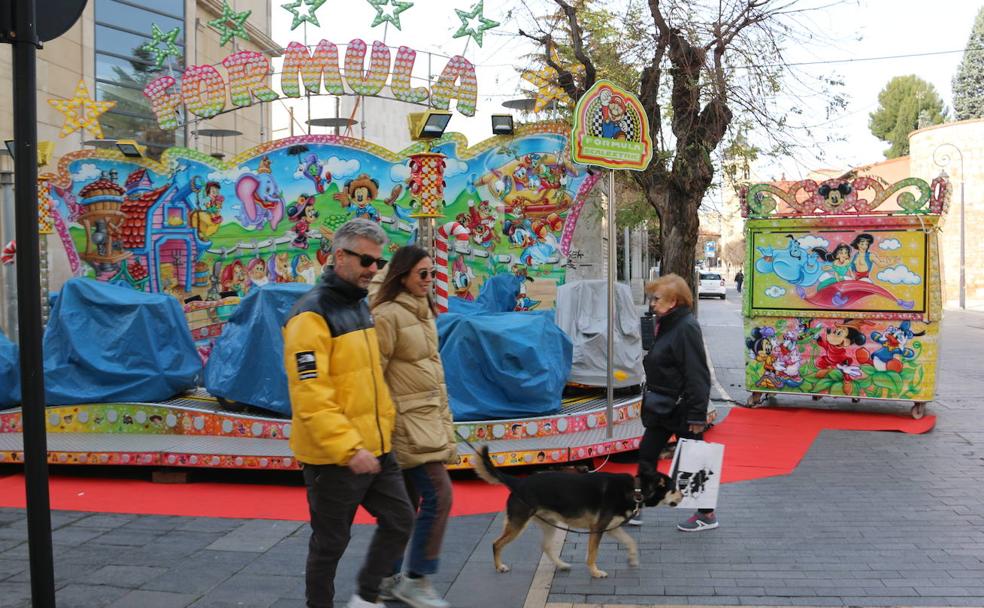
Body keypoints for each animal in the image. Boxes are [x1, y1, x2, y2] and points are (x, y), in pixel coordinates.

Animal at [472, 444, 680, 576]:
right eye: (674, 488)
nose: (683, 495)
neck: (635, 489)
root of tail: (517, 482)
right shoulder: (597, 529)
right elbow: (592, 554)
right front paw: (595, 572)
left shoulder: (610, 528)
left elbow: (630, 542)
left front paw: (633, 559)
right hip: (518, 524)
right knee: (496, 544)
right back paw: (499, 567)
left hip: (549, 523)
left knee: (546, 546)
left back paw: (562, 565)